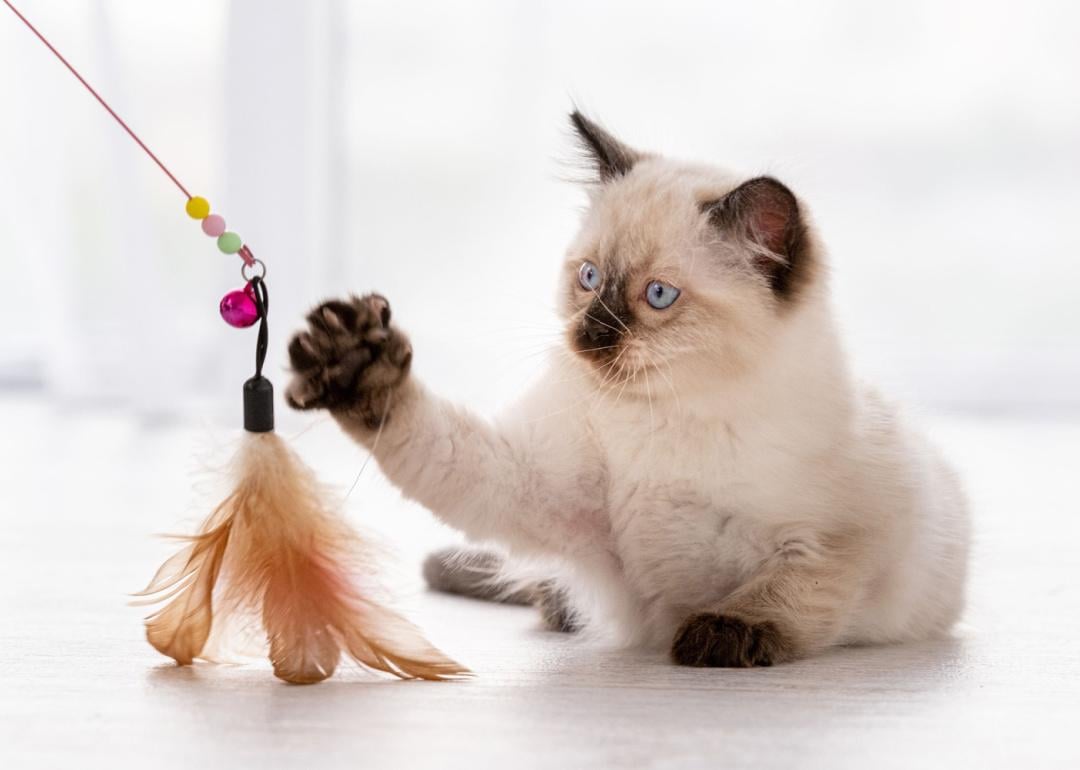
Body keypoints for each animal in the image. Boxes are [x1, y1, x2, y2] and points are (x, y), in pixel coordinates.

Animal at [285, 111, 972, 665]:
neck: (665, 418)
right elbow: (417, 427)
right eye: (589, 278)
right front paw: (355, 364)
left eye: (658, 296)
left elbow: (788, 588)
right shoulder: (529, 483)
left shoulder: (839, 541)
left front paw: (719, 636)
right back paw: (554, 603)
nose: (589, 336)